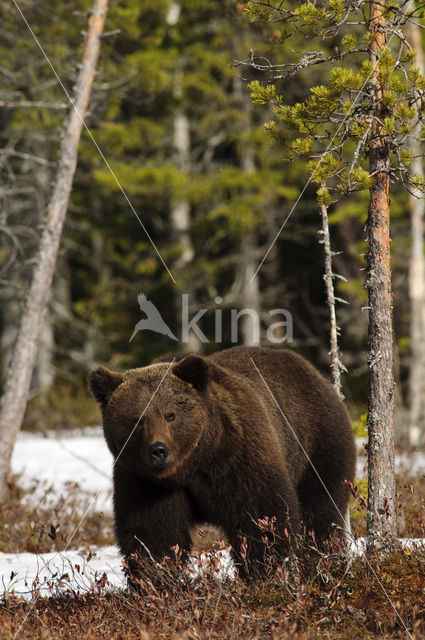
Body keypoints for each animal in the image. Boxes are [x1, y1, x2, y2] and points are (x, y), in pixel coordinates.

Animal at [88, 348, 354, 576]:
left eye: (170, 415)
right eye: (137, 420)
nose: (158, 450)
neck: (193, 464)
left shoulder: (238, 457)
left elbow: (262, 518)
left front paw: (263, 572)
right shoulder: (144, 482)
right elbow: (153, 535)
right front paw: (154, 580)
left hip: (318, 444)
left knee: (320, 512)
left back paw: (324, 561)